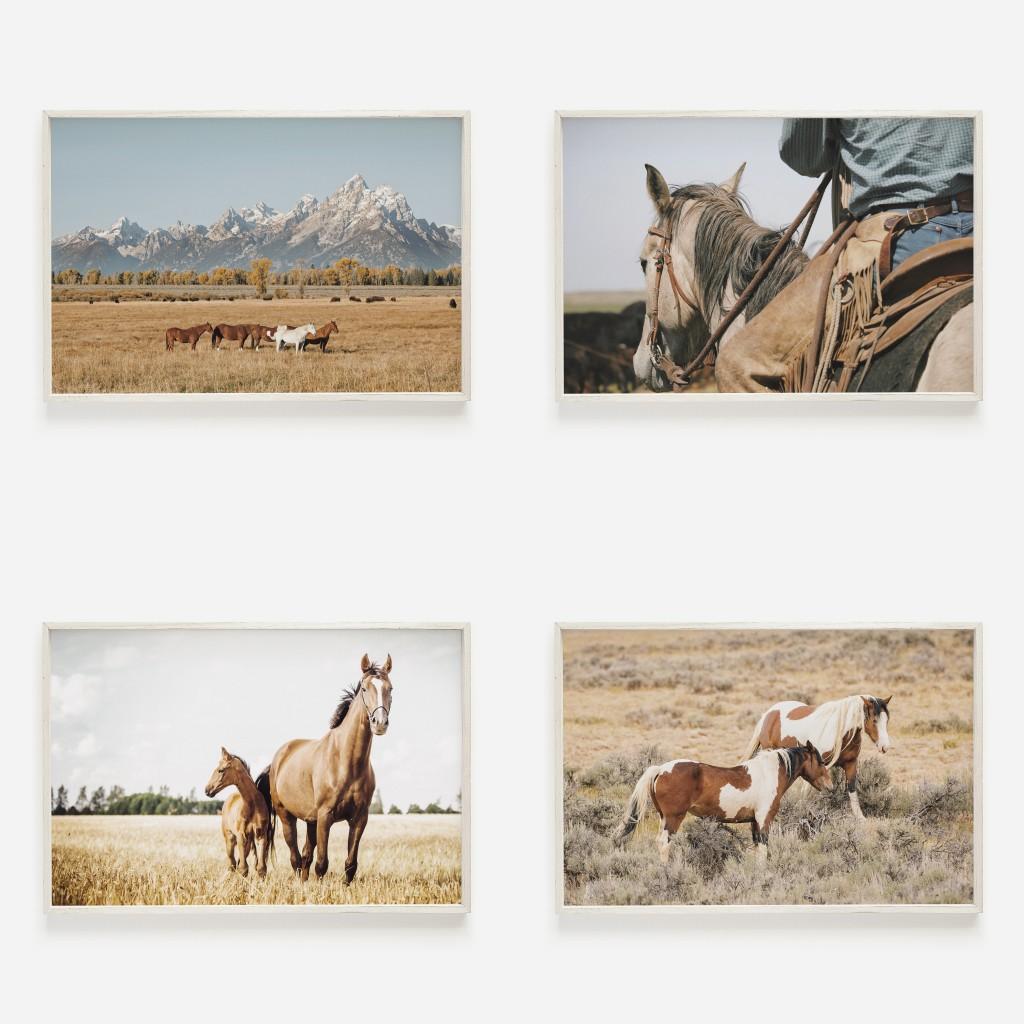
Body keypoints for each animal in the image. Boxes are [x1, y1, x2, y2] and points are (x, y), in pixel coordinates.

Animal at [204, 747, 273, 878]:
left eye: (220, 770)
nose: (207, 790)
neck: (252, 806)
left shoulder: (260, 835)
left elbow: (261, 868)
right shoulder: (241, 836)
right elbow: (243, 868)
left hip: (248, 843)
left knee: (237, 862)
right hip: (230, 839)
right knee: (232, 864)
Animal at [255, 654, 392, 883]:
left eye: (390, 688)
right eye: (365, 688)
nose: (379, 723)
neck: (346, 762)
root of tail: (276, 761)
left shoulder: (359, 818)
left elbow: (350, 864)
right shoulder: (325, 816)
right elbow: (321, 864)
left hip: (311, 820)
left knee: (305, 856)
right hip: (287, 816)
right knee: (295, 857)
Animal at [616, 743, 832, 864]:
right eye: (821, 762)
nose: (830, 786)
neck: (768, 773)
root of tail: (660, 769)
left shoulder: (754, 822)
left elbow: (757, 849)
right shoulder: (764, 819)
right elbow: (763, 850)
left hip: (664, 818)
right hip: (674, 818)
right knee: (664, 843)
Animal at [742, 694, 892, 820]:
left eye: (887, 721)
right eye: (874, 720)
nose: (885, 746)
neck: (839, 731)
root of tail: (769, 714)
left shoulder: (850, 764)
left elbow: (852, 789)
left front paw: (860, 818)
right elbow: (807, 790)